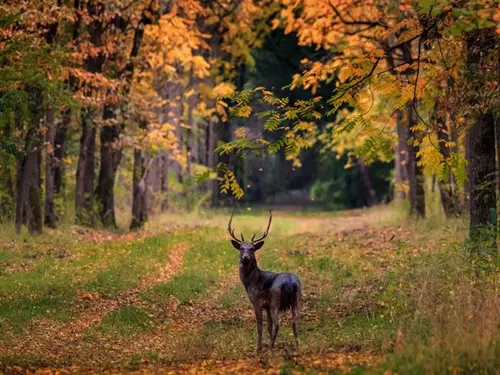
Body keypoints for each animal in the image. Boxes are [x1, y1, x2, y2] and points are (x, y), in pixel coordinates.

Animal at [228, 210, 300, 352]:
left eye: (252, 249)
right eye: (241, 248)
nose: (245, 257)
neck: (251, 282)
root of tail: (290, 283)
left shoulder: (257, 302)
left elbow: (260, 326)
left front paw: (259, 347)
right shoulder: (266, 305)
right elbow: (268, 326)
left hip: (275, 299)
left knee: (278, 324)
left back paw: (271, 346)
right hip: (297, 299)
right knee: (295, 323)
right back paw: (297, 345)